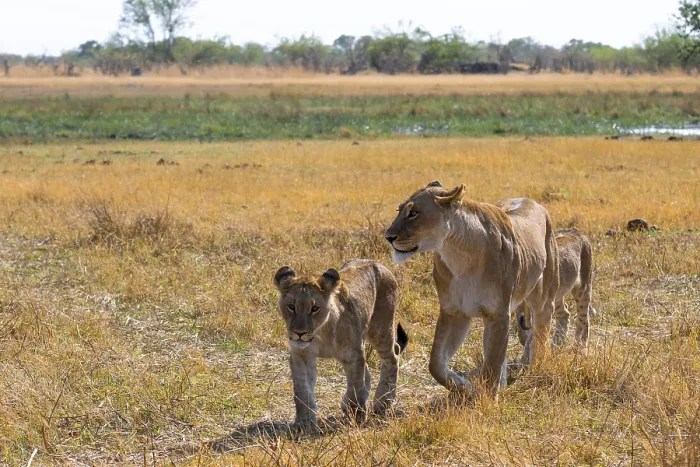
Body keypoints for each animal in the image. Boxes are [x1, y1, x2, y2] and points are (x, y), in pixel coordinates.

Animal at [273, 259, 408, 431]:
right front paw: (304, 423)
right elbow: (302, 391)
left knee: (392, 357)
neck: (320, 333)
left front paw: (356, 416)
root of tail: (378, 263)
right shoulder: (301, 355)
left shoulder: (353, 355)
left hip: (381, 329)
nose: (300, 333)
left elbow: (355, 386)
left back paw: (382, 404)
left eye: (314, 308)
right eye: (291, 306)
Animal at [384, 181, 559, 398]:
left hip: (542, 297)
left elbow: (491, 368)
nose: (388, 237)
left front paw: (486, 401)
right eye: (399, 210)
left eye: (414, 213)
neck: (459, 256)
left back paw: (537, 366)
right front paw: (462, 385)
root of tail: (532, 201)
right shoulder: (454, 312)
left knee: (541, 331)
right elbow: (436, 363)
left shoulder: (497, 314)